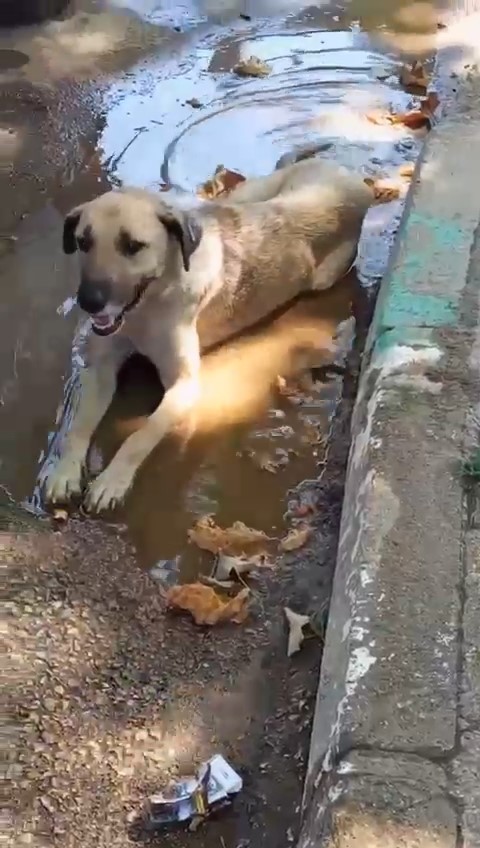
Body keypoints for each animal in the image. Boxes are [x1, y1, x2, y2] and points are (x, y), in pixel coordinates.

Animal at [44, 158, 372, 512]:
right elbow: (79, 425)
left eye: (133, 246)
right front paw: (64, 471)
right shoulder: (100, 369)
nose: (88, 301)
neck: (149, 305)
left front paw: (113, 480)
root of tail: (343, 171)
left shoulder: (184, 384)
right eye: (83, 242)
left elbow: (141, 433)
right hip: (243, 197)